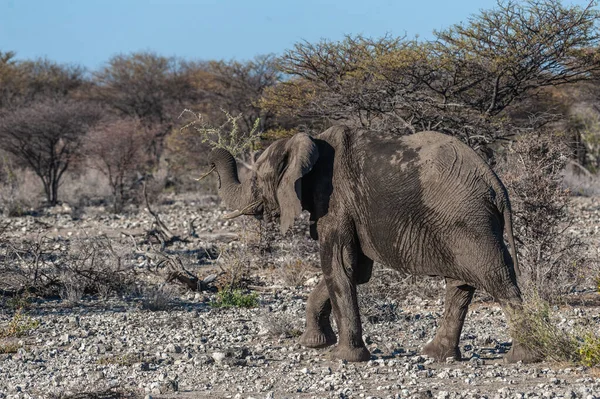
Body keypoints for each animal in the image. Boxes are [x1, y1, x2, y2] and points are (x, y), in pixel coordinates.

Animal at [205, 126, 540, 366]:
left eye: (257, 179)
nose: (210, 162)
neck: (309, 143)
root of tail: (496, 184)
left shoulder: (335, 200)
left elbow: (338, 266)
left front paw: (343, 358)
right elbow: (354, 270)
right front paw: (313, 343)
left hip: (468, 220)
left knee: (496, 278)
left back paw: (522, 358)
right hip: (463, 223)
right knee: (460, 285)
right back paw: (436, 355)